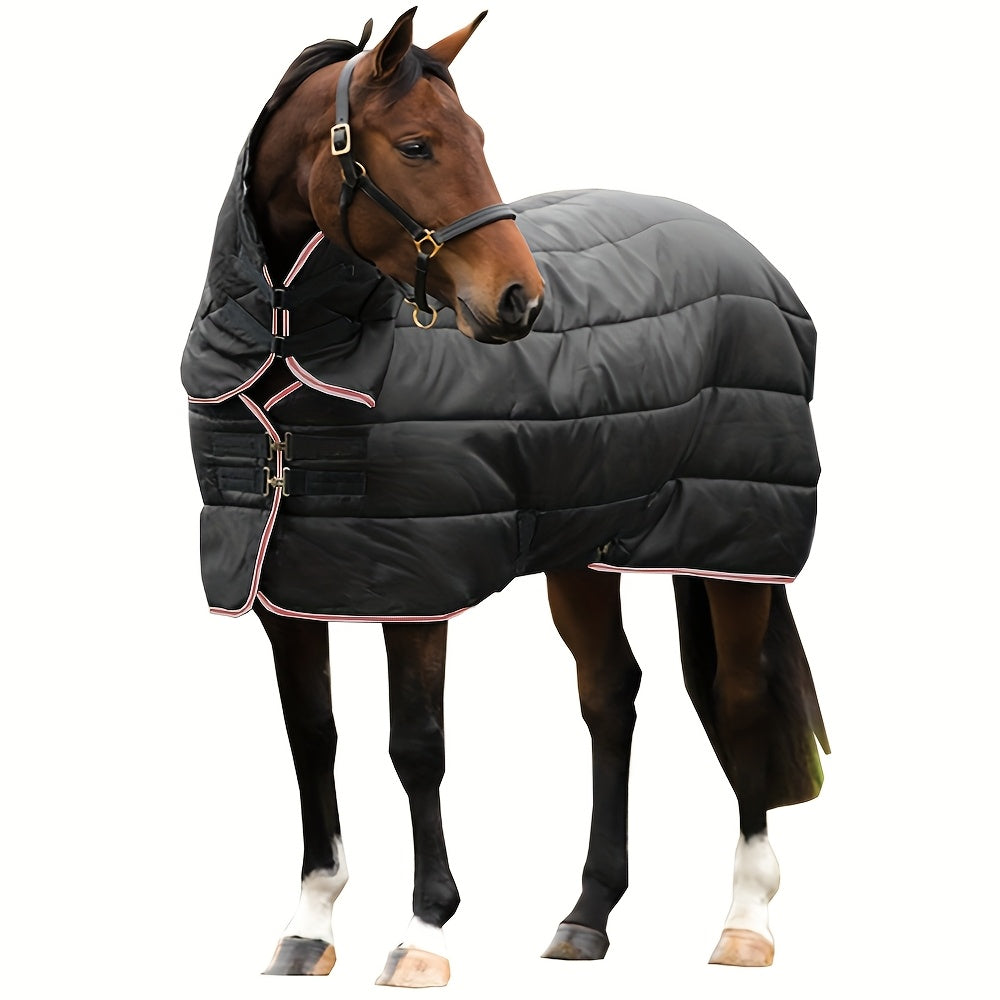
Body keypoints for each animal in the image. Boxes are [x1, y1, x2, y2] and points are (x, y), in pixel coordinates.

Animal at [182, 8, 829, 985]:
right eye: (416, 145)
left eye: (479, 139)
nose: (521, 301)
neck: (299, 349)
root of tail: (750, 258)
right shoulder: (283, 587)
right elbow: (312, 737)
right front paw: (309, 928)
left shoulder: (415, 587)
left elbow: (416, 747)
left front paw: (424, 933)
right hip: (585, 550)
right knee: (611, 694)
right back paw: (587, 916)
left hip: (735, 543)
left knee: (742, 695)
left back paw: (746, 919)